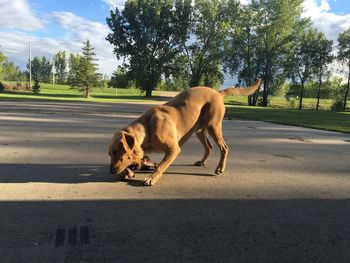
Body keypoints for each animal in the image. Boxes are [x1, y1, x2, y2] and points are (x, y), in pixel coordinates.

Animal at [108, 79, 262, 187]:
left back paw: (220, 168)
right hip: (199, 130)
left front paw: (151, 178)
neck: (147, 128)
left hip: (213, 126)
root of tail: (218, 92)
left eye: (116, 151)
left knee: (224, 147)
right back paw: (202, 161)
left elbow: (161, 166)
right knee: (209, 147)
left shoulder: (174, 149)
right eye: (110, 154)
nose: (111, 171)